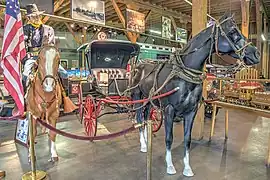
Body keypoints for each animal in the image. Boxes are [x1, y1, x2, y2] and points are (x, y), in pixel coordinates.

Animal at [131, 13, 260, 177]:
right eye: (232, 31)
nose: (256, 53)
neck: (183, 75)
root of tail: (139, 65)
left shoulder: (191, 111)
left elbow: (187, 139)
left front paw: (187, 168)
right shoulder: (168, 110)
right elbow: (169, 138)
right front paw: (170, 166)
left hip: (148, 100)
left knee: (145, 117)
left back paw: (147, 141)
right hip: (137, 98)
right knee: (138, 118)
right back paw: (143, 145)